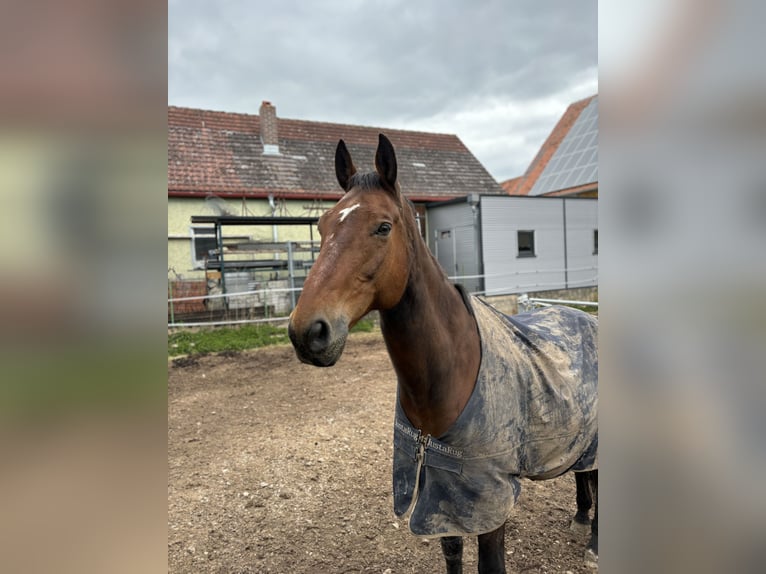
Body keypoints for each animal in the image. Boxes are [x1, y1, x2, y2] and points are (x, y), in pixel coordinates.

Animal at [288, 136, 600, 574]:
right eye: (323, 224)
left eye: (383, 227)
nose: (307, 331)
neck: (453, 369)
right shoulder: (441, 489)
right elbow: (452, 553)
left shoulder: (487, 498)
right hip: (578, 434)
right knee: (583, 473)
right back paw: (581, 517)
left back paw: (595, 542)